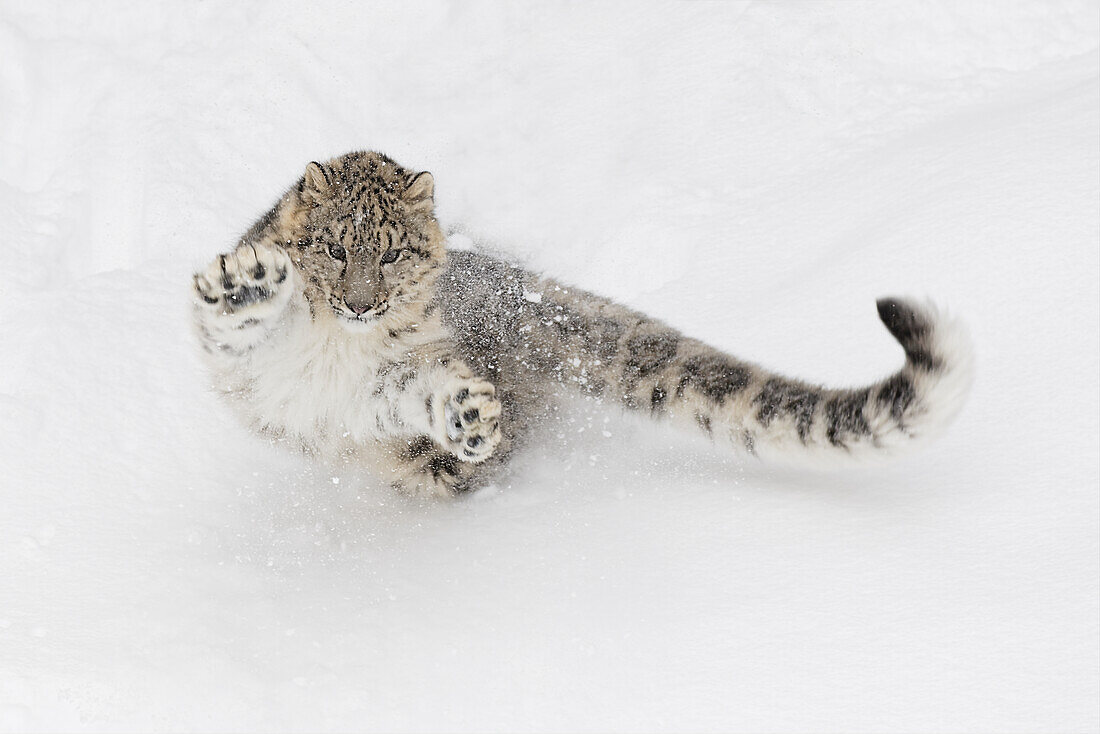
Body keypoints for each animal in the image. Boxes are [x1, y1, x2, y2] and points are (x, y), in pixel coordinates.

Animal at [191, 152, 972, 499]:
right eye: (335, 248)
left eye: (392, 253)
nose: (360, 304)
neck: (338, 351)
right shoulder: (251, 364)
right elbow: (239, 328)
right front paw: (248, 284)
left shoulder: (389, 381)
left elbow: (426, 385)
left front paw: (468, 412)